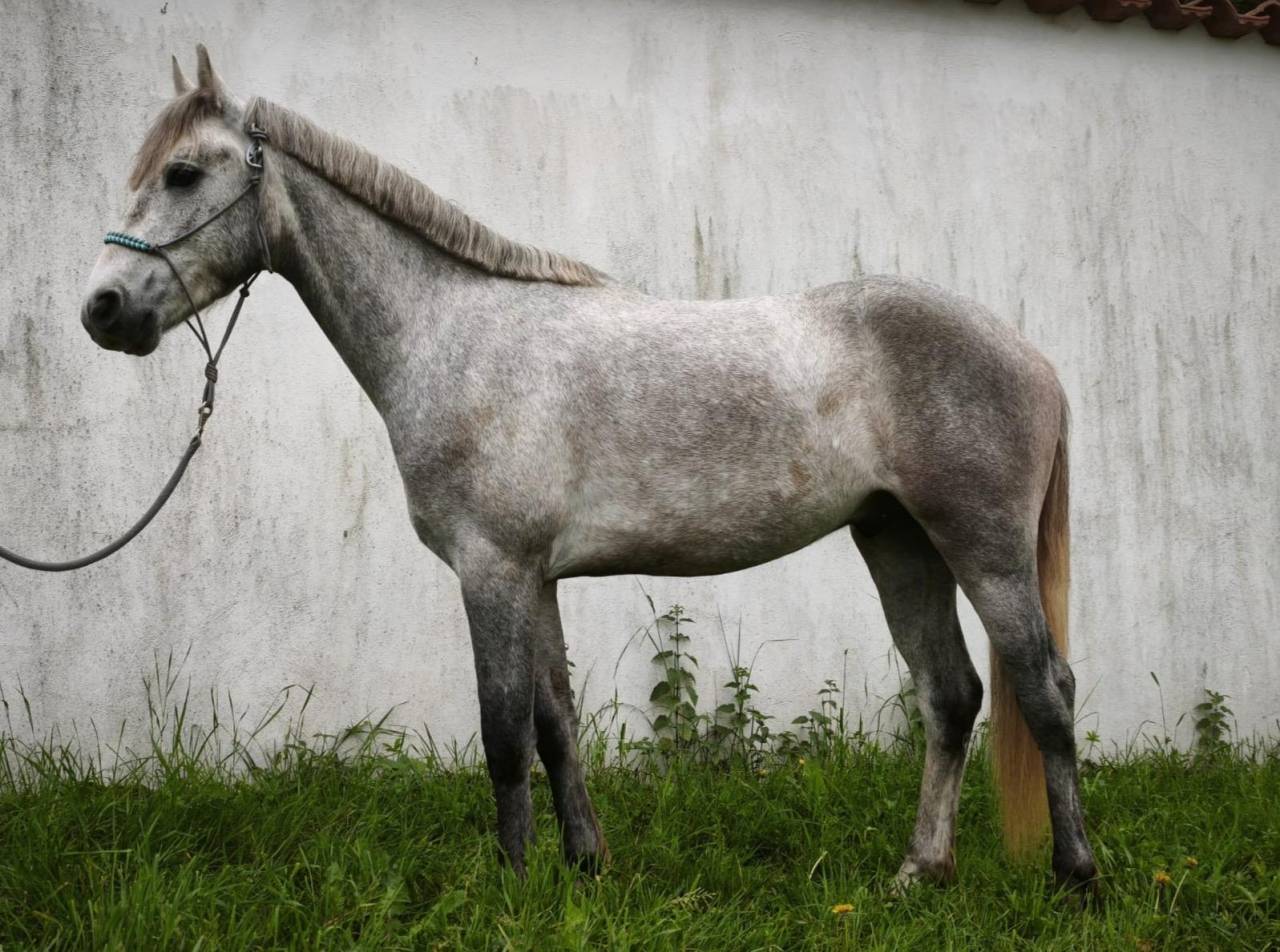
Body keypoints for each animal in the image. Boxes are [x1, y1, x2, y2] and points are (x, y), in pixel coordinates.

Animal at [79, 45, 1098, 891]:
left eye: (182, 172)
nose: (103, 309)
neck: (454, 335)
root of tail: (1033, 358)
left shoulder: (491, 570)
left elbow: (501, 734)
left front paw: (512, 884)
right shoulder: (536, 577)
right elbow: (556, 724)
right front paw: (583, 866)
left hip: (984, 549)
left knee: (1046, 691)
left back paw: (1077, 875)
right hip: (897, 540)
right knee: (952, 698)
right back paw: (918, 872)